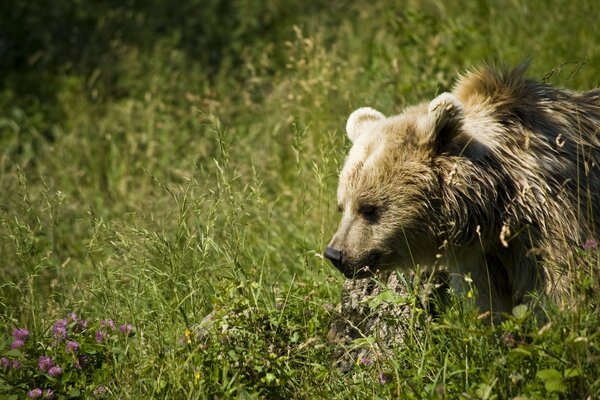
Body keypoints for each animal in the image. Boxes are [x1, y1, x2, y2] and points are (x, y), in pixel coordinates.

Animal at [326, 65, 600, 314]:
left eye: (368, 208)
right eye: (342, 206)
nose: (335, 255)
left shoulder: (557, 219)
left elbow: (564, 288)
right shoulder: (483, 259)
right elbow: (491, 305)